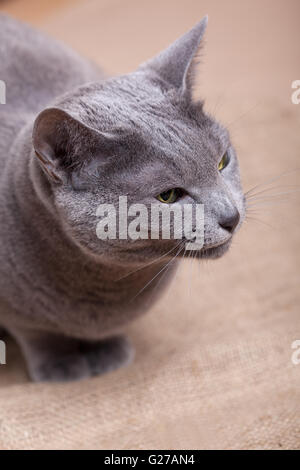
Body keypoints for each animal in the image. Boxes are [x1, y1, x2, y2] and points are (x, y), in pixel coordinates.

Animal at [0, 13, 245, 382]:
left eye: (222, 161)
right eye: (168, 195)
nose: (232, 216)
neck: (105, 285)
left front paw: (107, 352)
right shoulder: (19, 316)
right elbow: (38, 333)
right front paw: (60, 365)